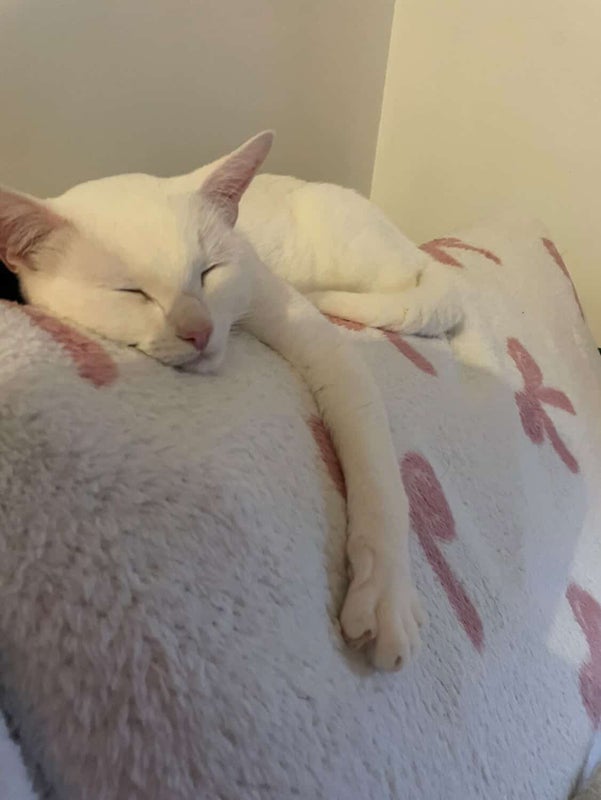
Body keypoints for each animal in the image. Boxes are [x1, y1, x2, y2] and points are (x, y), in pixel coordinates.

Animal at [0, 131, 461, 670]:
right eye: (131, 292)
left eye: (209, 272)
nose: (197, 330)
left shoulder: (314, 337)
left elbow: (380, 478)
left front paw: (386, 593)